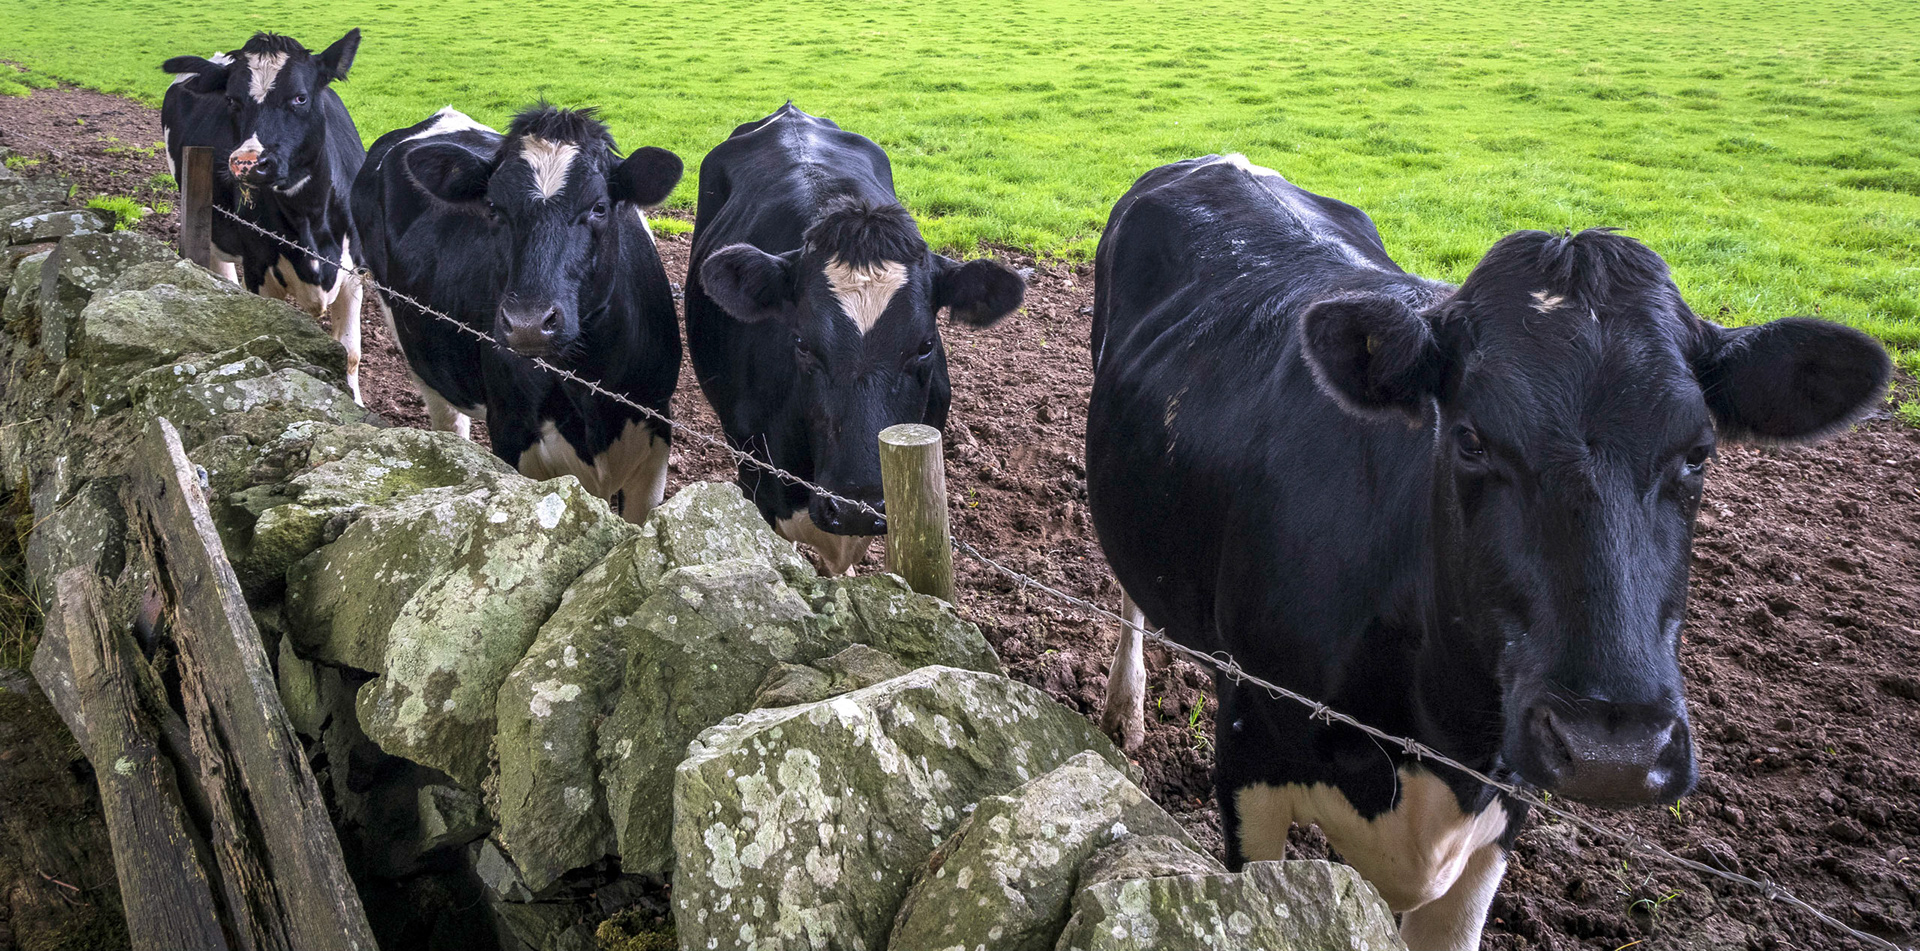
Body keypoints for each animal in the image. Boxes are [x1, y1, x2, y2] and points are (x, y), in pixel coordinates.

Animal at [161, 30, 369, 403]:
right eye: (232, 100)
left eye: (300, 97)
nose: (247, 162)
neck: (310, 219)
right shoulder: (259, 269)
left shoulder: (355, 271)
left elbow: (350, 354)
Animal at [1087, 154, 1890, 950]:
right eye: (1470, 438)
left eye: (1698, 452)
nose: (1614, 751)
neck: (1443, 734)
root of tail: (1219, 159)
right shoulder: (1247, 747)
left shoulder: (1504, 808)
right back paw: (1123, 710)